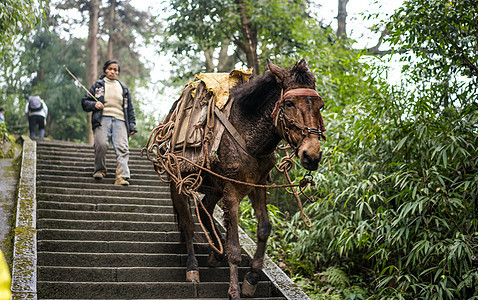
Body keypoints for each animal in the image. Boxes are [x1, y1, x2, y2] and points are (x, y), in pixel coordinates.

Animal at [153, 58, 324, 298]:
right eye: (289, 103)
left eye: (320, 106)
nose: (312, 155)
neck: (248, 135)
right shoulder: (232, 190)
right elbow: (233, 246)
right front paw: (234, 290)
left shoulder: (257, 185)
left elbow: (264, 228)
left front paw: (251, 279)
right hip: (178, 182)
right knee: (187, 224)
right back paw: (192, 268)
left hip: (214, 188)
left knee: (204, 212)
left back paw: (216, 255)